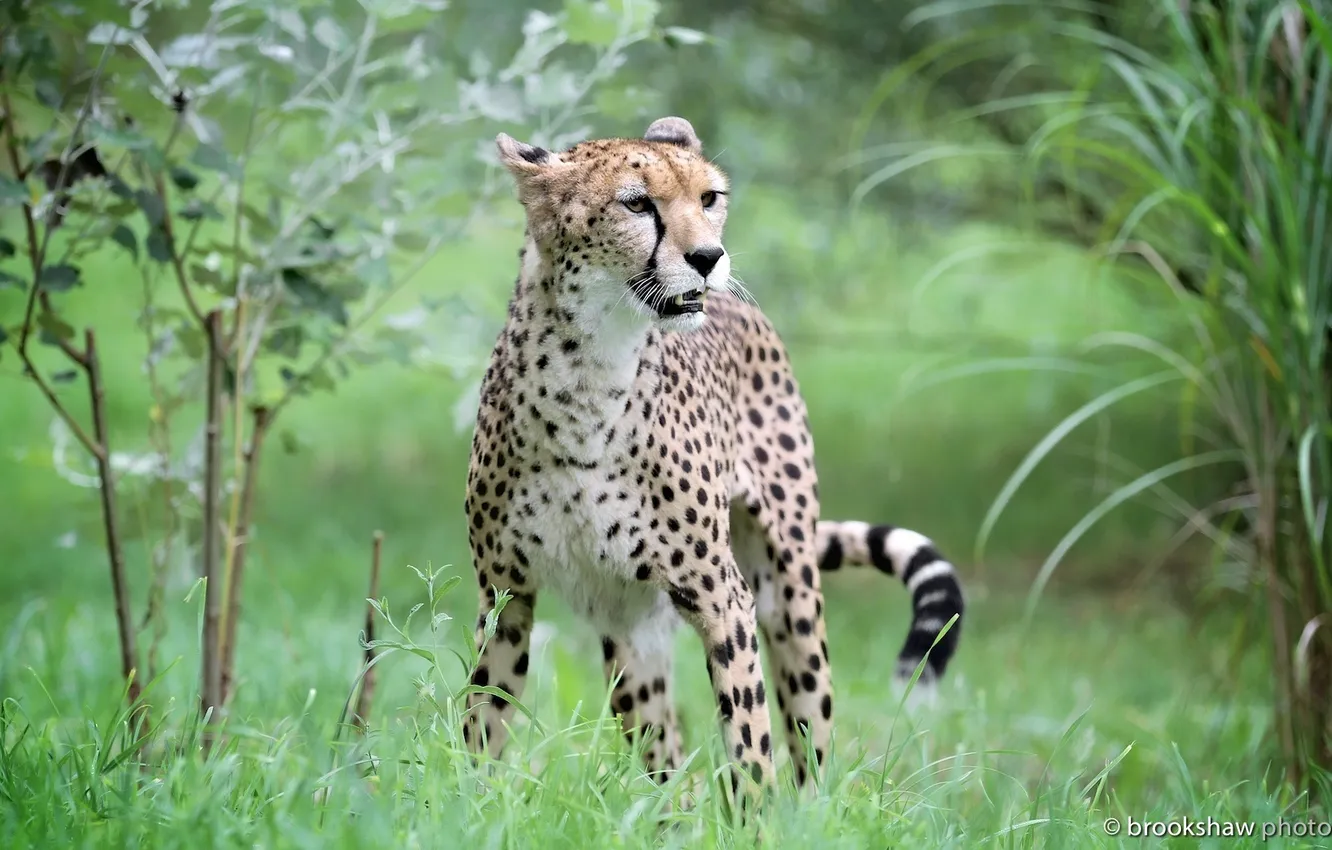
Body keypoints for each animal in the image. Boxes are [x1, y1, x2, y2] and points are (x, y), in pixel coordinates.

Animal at [460, 116, 965, 793]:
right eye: (636, 204)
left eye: (709, 198)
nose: (708, 258)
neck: (588, 376)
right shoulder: (505, 596)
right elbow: (480, 724)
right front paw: (463, 799)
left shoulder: (723, 596)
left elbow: (750, 744)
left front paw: (757, 809)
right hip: (629, 625)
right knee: (662, 751)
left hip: (788, 589)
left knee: (809, 733)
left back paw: (808, 806)